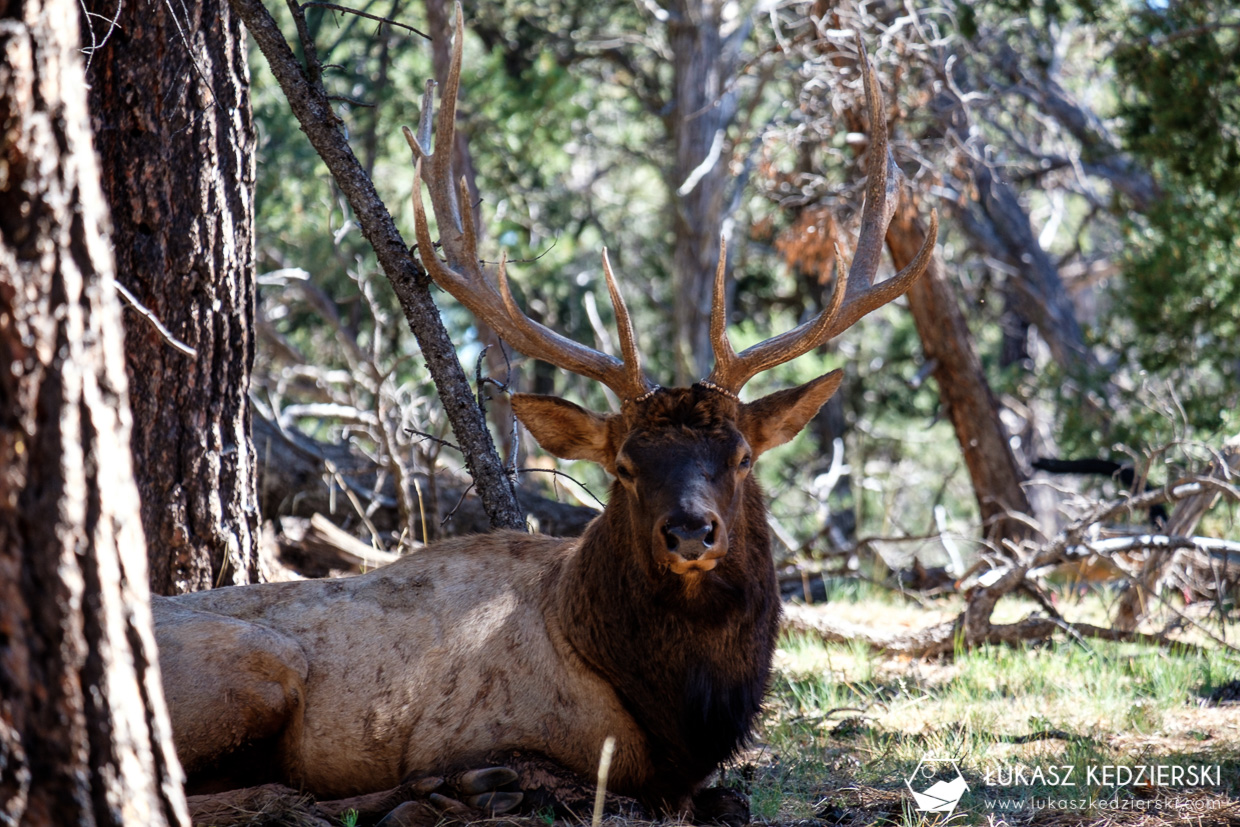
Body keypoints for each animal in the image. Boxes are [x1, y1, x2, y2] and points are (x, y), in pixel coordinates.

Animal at [150, 9, 932, 823]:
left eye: (742, 457)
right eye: (625, 466)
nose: (691, 531)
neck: (679, 715)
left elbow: (725, 800)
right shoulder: (484, 728)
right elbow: (588, 785)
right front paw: (476, 781)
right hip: (256, 670)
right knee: (227, 789)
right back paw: (427, 794)